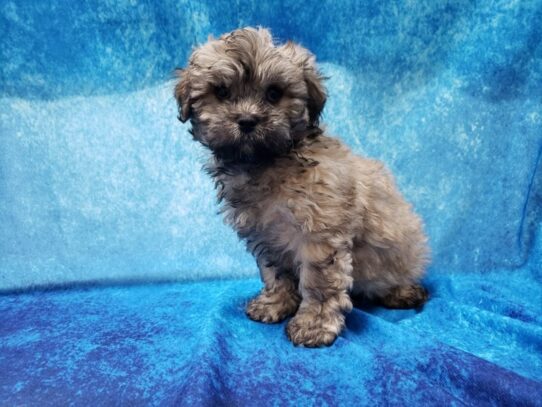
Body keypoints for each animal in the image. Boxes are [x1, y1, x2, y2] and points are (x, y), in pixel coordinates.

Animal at [176, 27, 432, 348]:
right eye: (221, 92)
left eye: (274, 93)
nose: (247, 121)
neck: (267, 162)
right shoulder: (267, 236)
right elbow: (276, 274)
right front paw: (276, 304)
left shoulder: (320, 235)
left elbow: (319, 282)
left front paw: (315, 324)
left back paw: (402, 291)